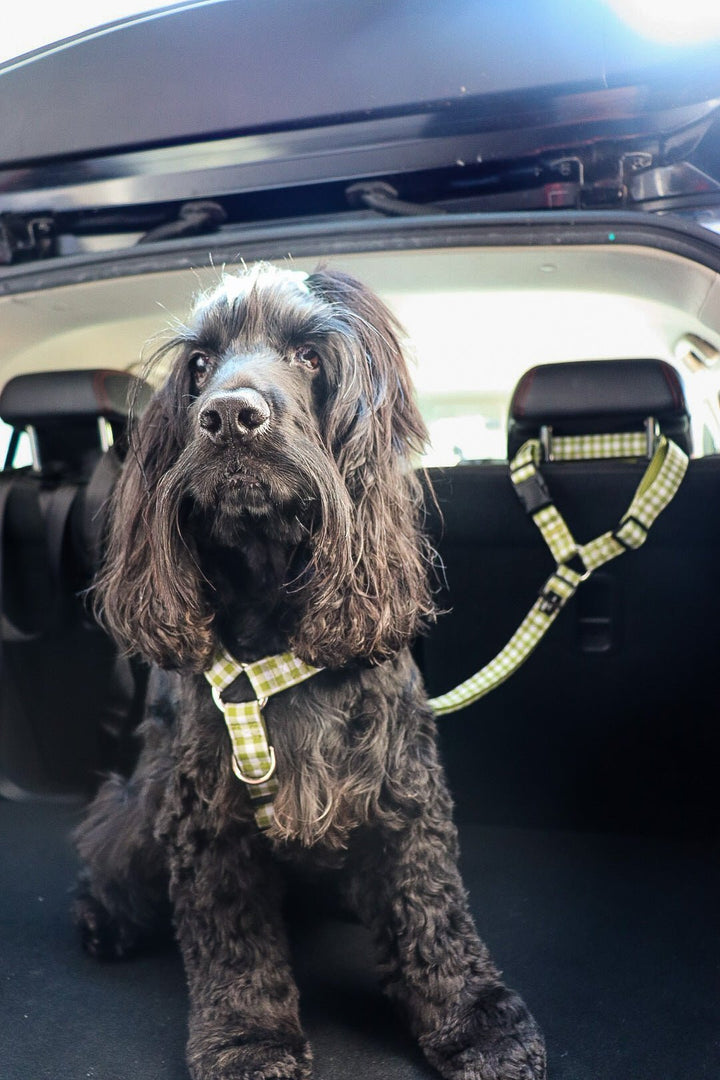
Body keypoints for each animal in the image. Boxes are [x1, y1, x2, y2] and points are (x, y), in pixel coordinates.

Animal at [74, 263, 546, 1080]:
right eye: (199, 365)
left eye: (310, 357)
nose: (230, 415)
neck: (271, 618)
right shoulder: (208, 816)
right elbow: (232, 943)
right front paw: (249, 1043)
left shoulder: (402, 791)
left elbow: (434, 916)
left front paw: (481, 1026)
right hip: (140, 808)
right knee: (111, 854)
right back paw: (103, 923)